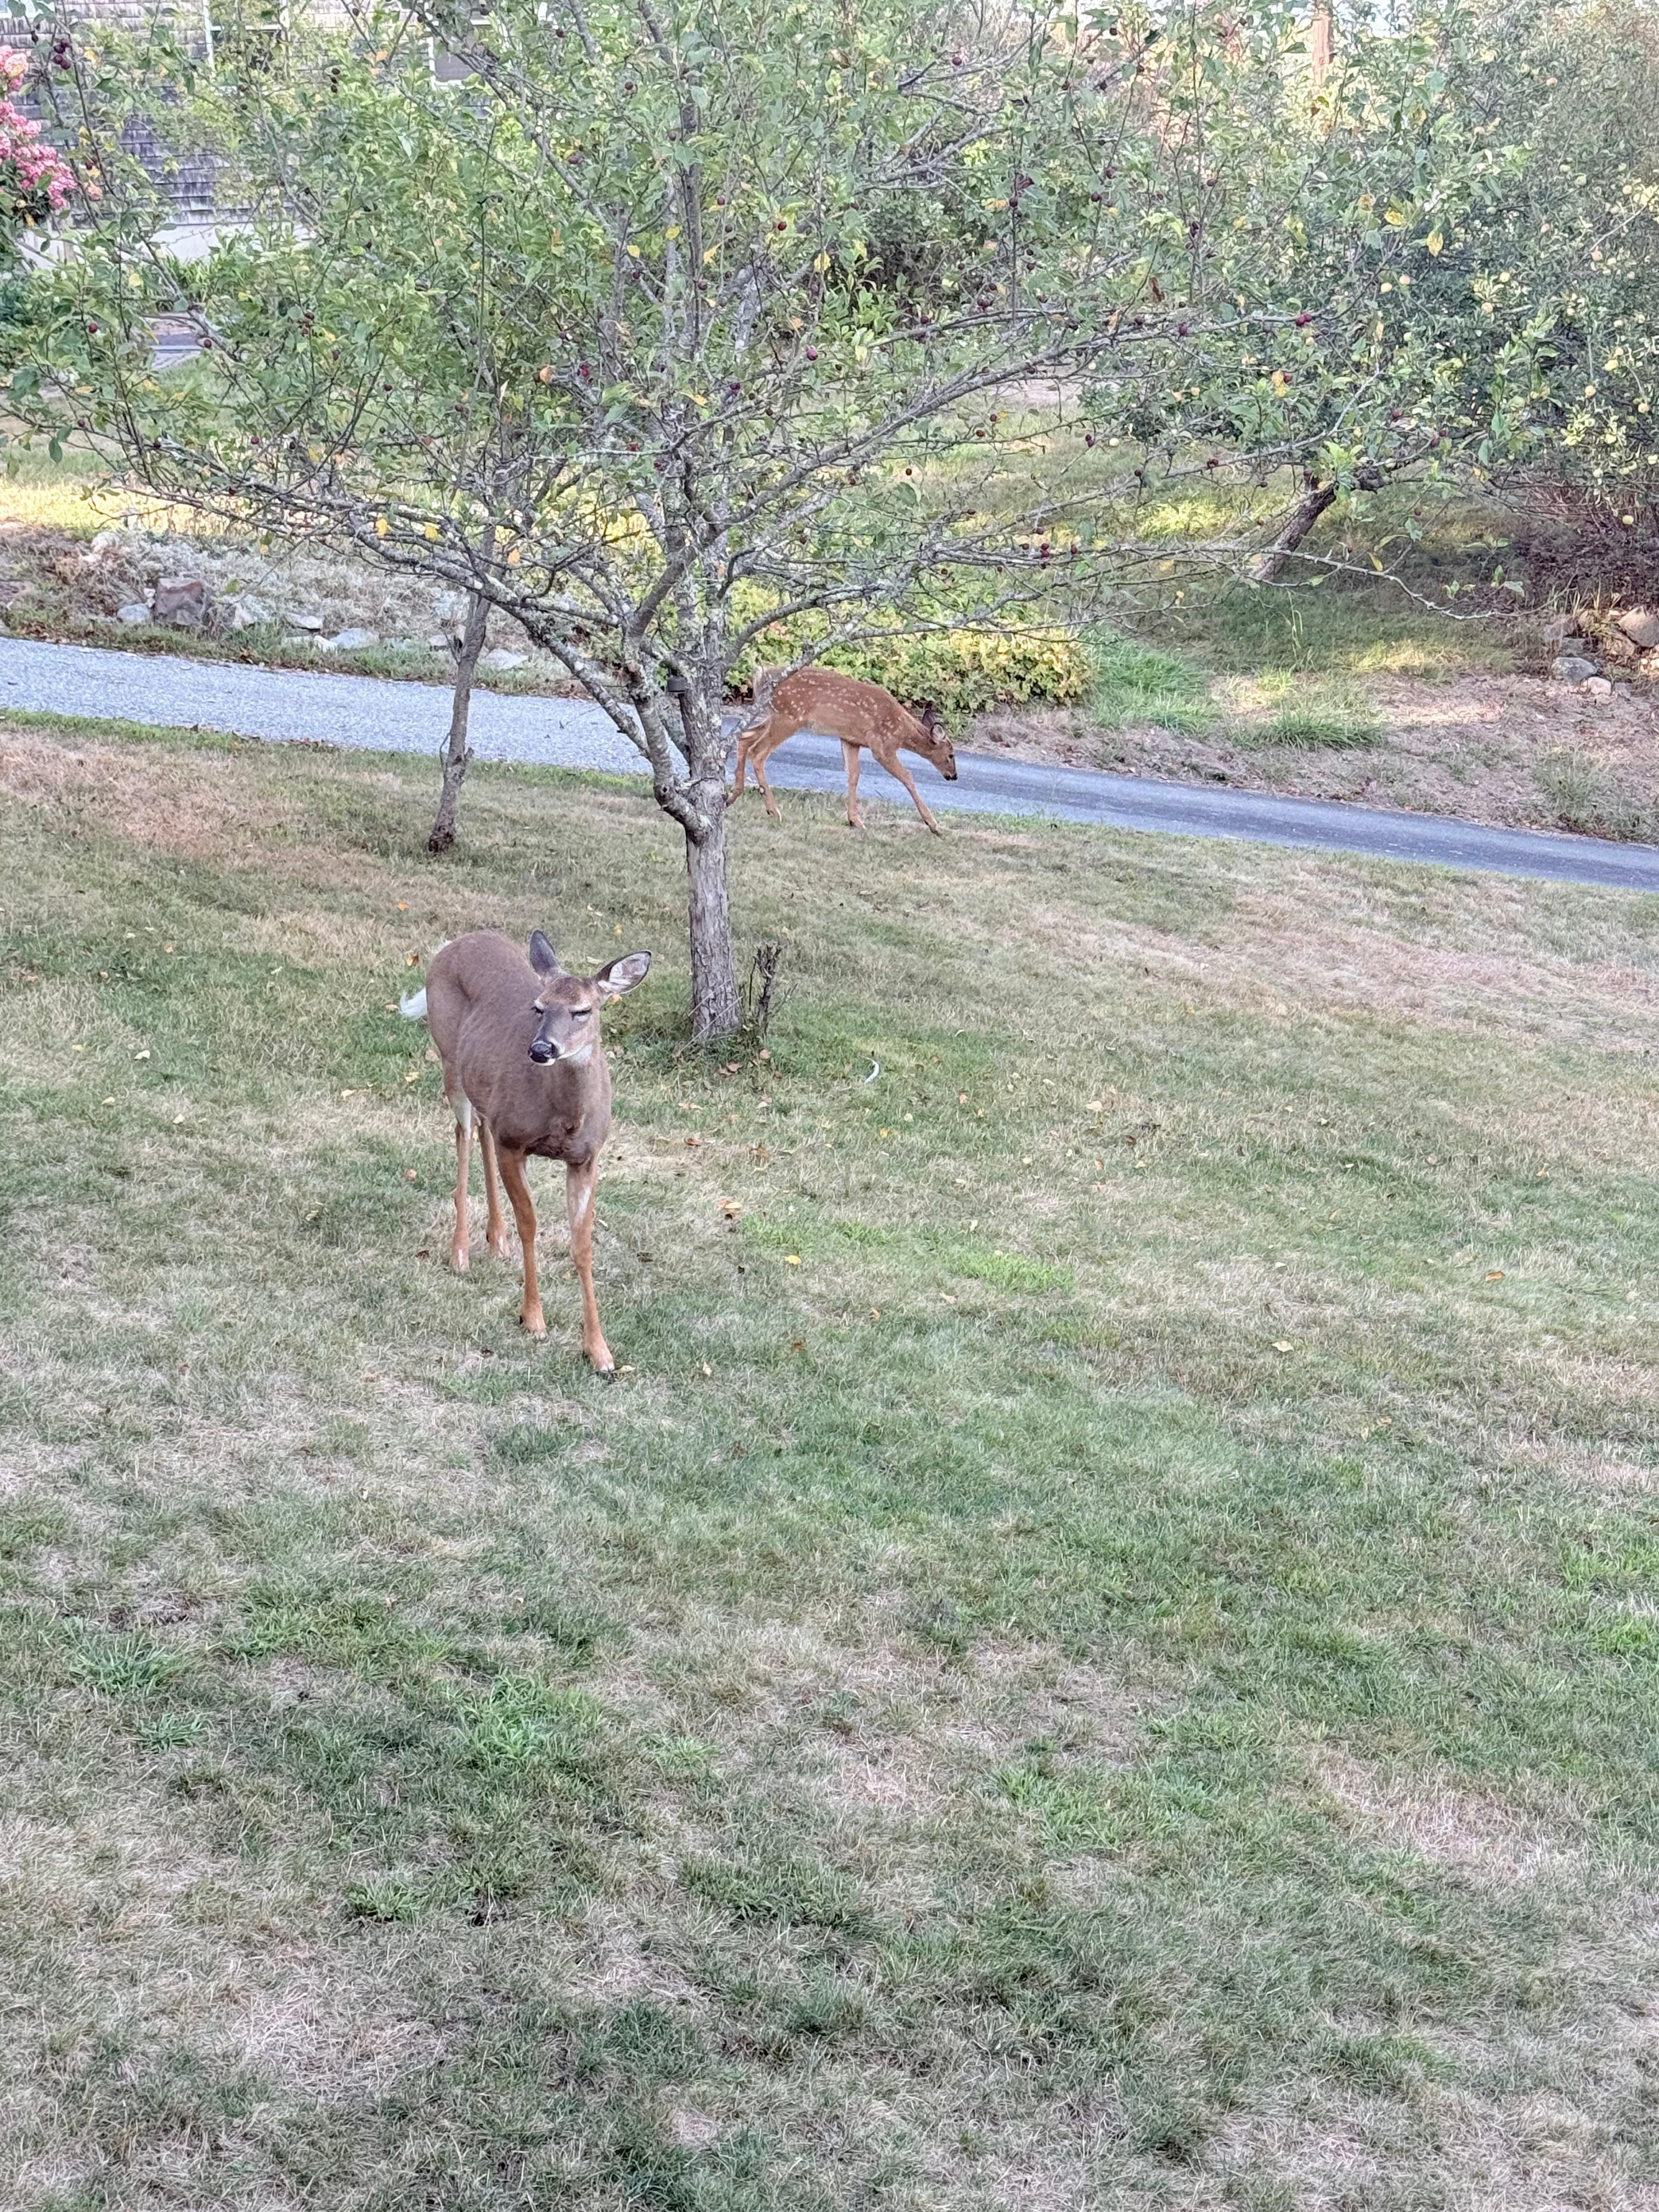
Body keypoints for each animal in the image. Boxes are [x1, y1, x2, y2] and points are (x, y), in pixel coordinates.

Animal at [400, 928, 651, 1374]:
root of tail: (455, 944)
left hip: (485, 1087)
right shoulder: (514, 1142)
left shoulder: (586, 1157)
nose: (540, 1050)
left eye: (583, 1010)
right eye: (539, 1007)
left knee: (481, 1129)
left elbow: (582, 1243)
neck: (563, 1117)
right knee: (464, 1133)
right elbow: (531, 1225)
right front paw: (533, 1319)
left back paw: (496, 1239)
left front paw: (599, 1351)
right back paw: (460, 1251)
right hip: (449, 1058)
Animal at [732, 667, 958, 835]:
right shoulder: (881, 745)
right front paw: (933, 824)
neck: (902, 731)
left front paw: (854, 820)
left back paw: (735, 794)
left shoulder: (851, 740)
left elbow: (853, 775)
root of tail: (761, 675)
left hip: (773, 716)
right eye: (951, 755)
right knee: (758, 752)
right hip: (788, 717)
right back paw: (773, 811)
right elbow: (908, 777)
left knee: (744, 738)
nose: (954, 776)